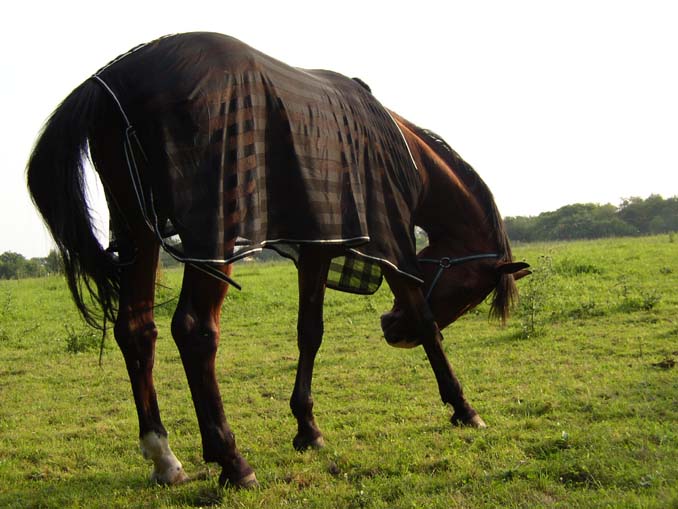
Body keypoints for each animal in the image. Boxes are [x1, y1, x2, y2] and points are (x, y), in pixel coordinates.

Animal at [26, 32, 532, 488]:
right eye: (468, 292)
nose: (393, 332)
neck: (403, 155)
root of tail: (112, 81)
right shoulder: (389, 240)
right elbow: (426, 321)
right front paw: (464, 408)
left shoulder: (319, 245)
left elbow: (310, 332)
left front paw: (307, 429)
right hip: (213, 232)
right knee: (194, 331)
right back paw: (232, 461)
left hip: (137, 229)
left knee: (136, 331)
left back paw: (164, 457)